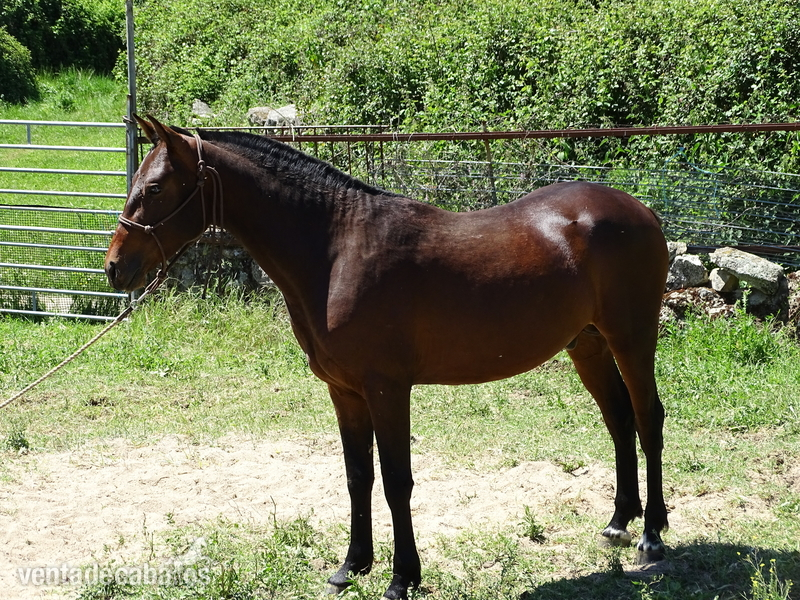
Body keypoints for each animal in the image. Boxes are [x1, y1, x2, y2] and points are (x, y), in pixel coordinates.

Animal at [105, 116, 670, 600]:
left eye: (154, 188)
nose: (115, 267)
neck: (336, 251)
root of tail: (641, 210)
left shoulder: (387, 389)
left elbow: (398, 481)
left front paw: (403, 577)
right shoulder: (345, 391)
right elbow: (359, 476)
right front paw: (351, 566)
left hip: (633, 339)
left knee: (647, 419)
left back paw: (653, 534)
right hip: (589, 345)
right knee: (619, 420)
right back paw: (619, 522)